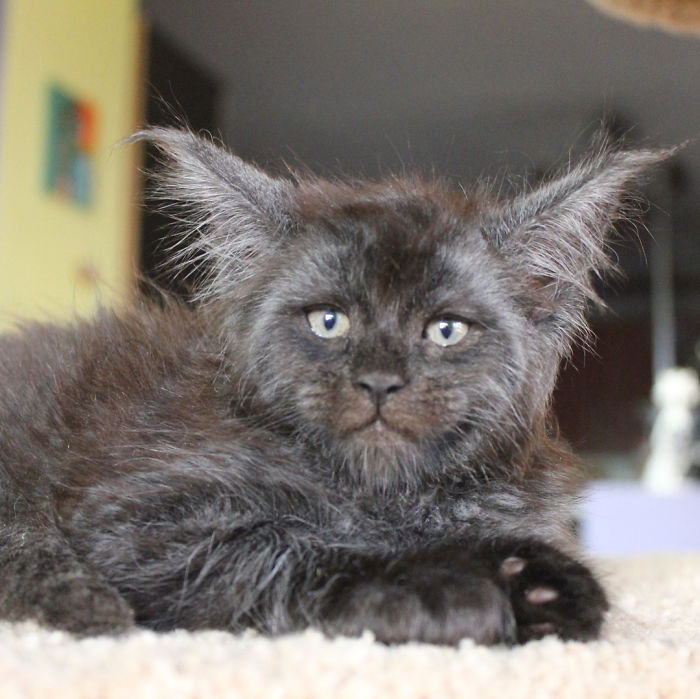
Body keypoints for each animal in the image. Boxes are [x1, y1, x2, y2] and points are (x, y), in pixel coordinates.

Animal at [0, 126, 668, 644]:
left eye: (445, 330)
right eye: (329, 321)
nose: (379, 382)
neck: (387, 501)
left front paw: (541, 586)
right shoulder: (137, 517)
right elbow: (287, 548)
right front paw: (439, 587)